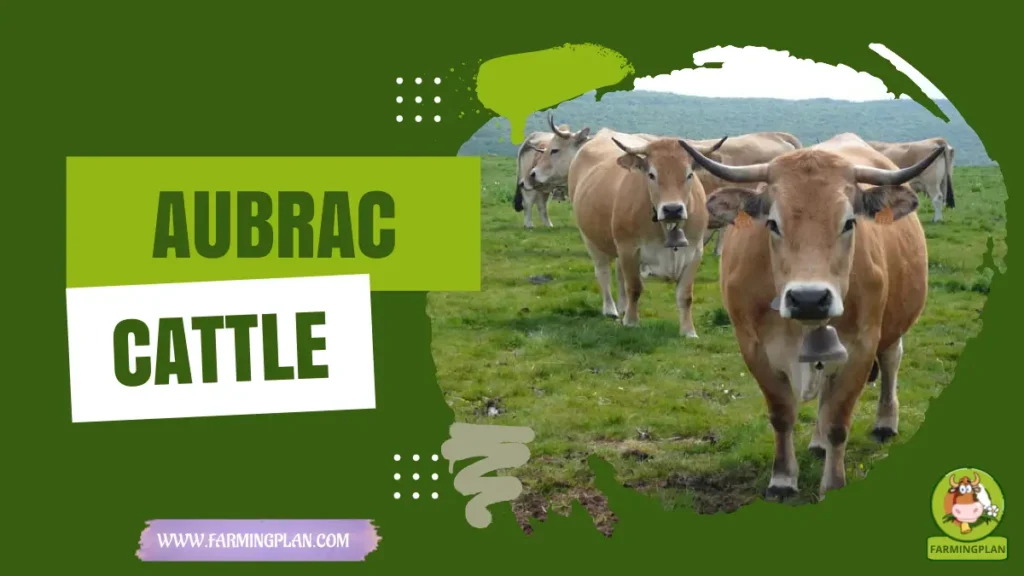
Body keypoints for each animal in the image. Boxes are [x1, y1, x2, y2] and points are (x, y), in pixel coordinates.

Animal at [567, 128, 726, 337]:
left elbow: (685, 296)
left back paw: (623, 307)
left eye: (689, 174)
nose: (673, 209)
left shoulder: (695, 252)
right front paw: (631, 322)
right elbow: (634, 287)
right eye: (651, 175)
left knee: (619, 273)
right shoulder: (629, 248)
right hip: (591, 239)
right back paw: (611, 309)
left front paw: (688, 331)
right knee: (603, 272)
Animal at [678, 132, 945, 499]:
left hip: (893, 327)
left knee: (891, 363)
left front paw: (833, 485)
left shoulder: (860, 349)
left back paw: (885, 423)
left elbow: (838, 423)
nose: (809, 299)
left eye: (849, 222)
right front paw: (782, 479)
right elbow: (782, 415)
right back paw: (817, 443)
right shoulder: (754, 348)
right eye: (773, 223)